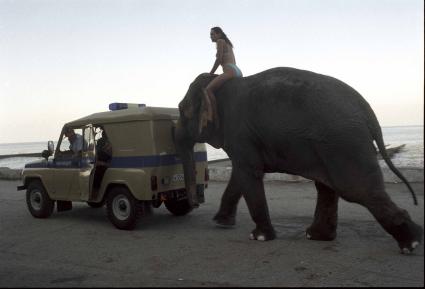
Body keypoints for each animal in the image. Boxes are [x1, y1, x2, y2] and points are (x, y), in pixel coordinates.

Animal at [174, 67, 422, 252]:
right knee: (327, 187)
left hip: (343, 142)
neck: (217, 85)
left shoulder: (240, 134)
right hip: (332, 144)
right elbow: (240, 174)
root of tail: (366, 108)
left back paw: (412, 243)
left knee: (355, 189)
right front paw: (221, 223)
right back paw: (316, 236)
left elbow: (248, 172)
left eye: (181, 110)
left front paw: (259, 237)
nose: (194, 203)